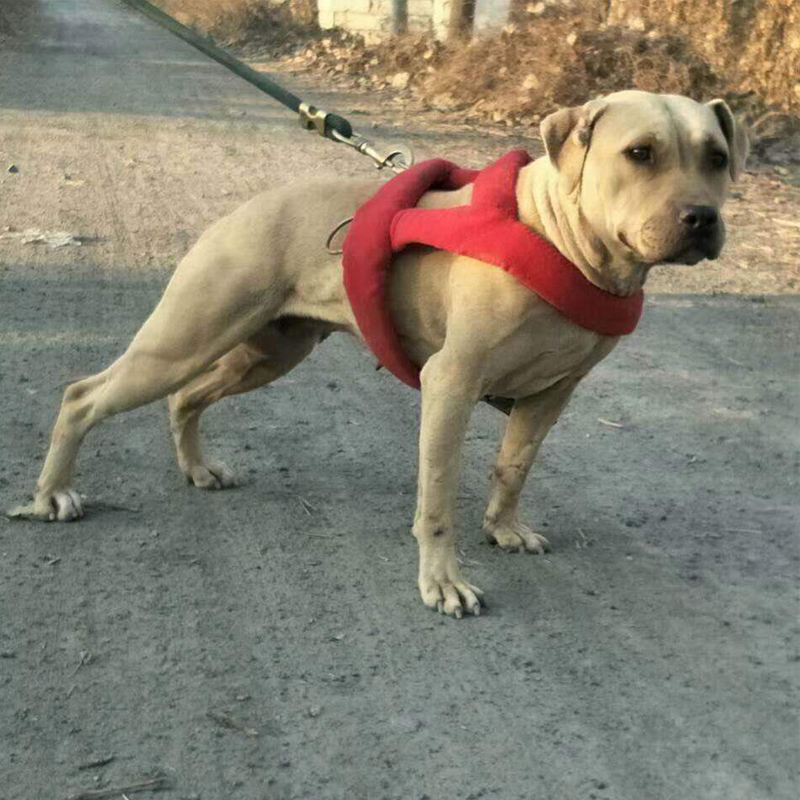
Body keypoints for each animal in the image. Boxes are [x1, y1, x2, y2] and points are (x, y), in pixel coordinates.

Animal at [17, 90, 748, 618]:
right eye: (641, 152)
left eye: (716, 157)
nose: (701, 219)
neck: (560, 238)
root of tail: (240, 211)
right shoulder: (451, 384)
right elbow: (438, 501)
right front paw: (443, 584)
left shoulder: (551, 395)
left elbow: (513, 467)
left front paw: (504, 527)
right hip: (184, 339)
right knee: (84, 395)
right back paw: (53, 495)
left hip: (267, 353)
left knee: (185, 397)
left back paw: (196, 468)